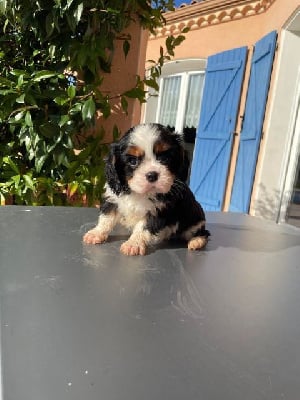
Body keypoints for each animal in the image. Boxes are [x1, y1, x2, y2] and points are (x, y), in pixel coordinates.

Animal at [82, 122, 209, 256]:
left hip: (194, 222)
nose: (152, 175)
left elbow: (143, 227)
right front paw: (96, 233)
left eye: (164, 158)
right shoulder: (113, 199)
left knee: (203, 232)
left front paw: (134, 243)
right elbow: (106, 218)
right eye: (133, 161)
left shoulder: (158, 209)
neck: (139, 193)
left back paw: (197, 241)